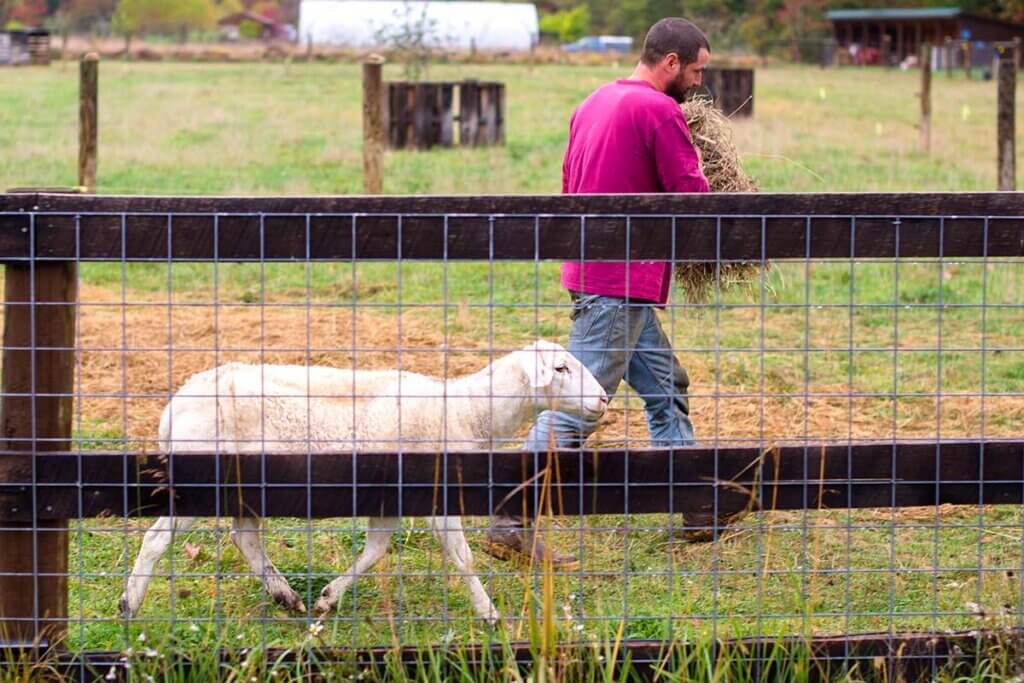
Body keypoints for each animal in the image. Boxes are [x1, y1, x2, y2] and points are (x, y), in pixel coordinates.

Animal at [119, 342, 606, 626]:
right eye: (560, 368)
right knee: (156, 539)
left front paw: (328, 599)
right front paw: (490, 615)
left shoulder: (389, 499)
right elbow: (461, 556)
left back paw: (285, 596)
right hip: (201, 480)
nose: (603, 399)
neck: (468, 410)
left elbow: (375, 552)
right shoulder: (433, 492)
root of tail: (175, 404)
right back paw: (129, 604)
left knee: (246, 538)